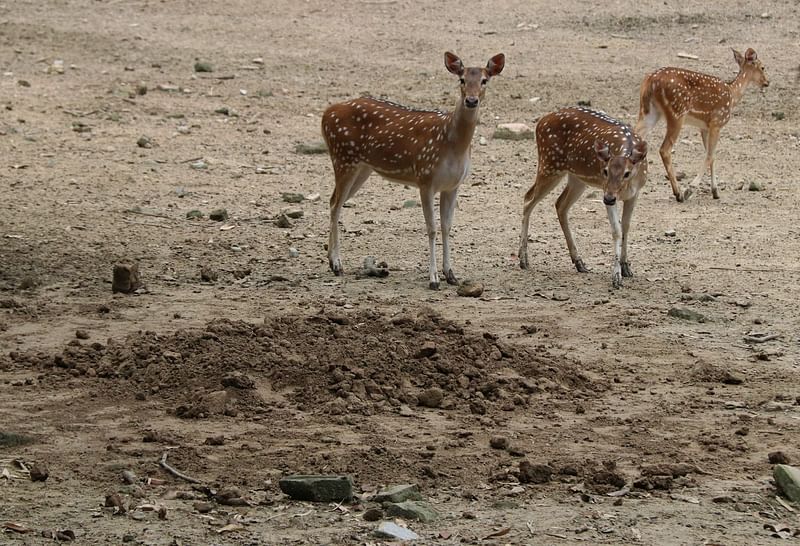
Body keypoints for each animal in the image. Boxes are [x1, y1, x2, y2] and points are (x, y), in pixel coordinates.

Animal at [320, 51, 504, 288]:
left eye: (484, 80)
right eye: (461, 79)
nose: (471, 100)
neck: (453, 144)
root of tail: (326, 113)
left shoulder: (453, 185)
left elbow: (447, 227)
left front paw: (451, 274)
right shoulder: (425, 178)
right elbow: (432, 228)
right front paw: (433, 278)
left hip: (362, 167)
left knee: (335, 201)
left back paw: (332, 262)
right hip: (343, 157)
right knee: (335, 203)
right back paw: (337, 264)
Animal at [520, 105, 648, 288]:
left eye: (627, 173)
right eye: (605, 171)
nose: (608, 198)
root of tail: (540, 122)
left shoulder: (634, 193)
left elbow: (626, 227)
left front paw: (626, 267)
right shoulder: (606, 190)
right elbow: (616, 230)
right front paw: (616, 277)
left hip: (576, 178)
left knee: (559, 204)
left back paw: (579, 262)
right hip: (549, 164)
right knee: (528, 198)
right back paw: (523, 259)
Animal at [636, 47, 768, 201]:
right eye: (762, 67)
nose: (767, 82)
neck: (732, 95)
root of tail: (650, 80)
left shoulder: (704, 127)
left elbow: (712, 155)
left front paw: (715, 191)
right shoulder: (717, 122)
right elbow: (710, 155)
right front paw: (690, 189)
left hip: (649, 112)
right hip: (676, 113)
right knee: (664, 149)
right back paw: (678, 192)